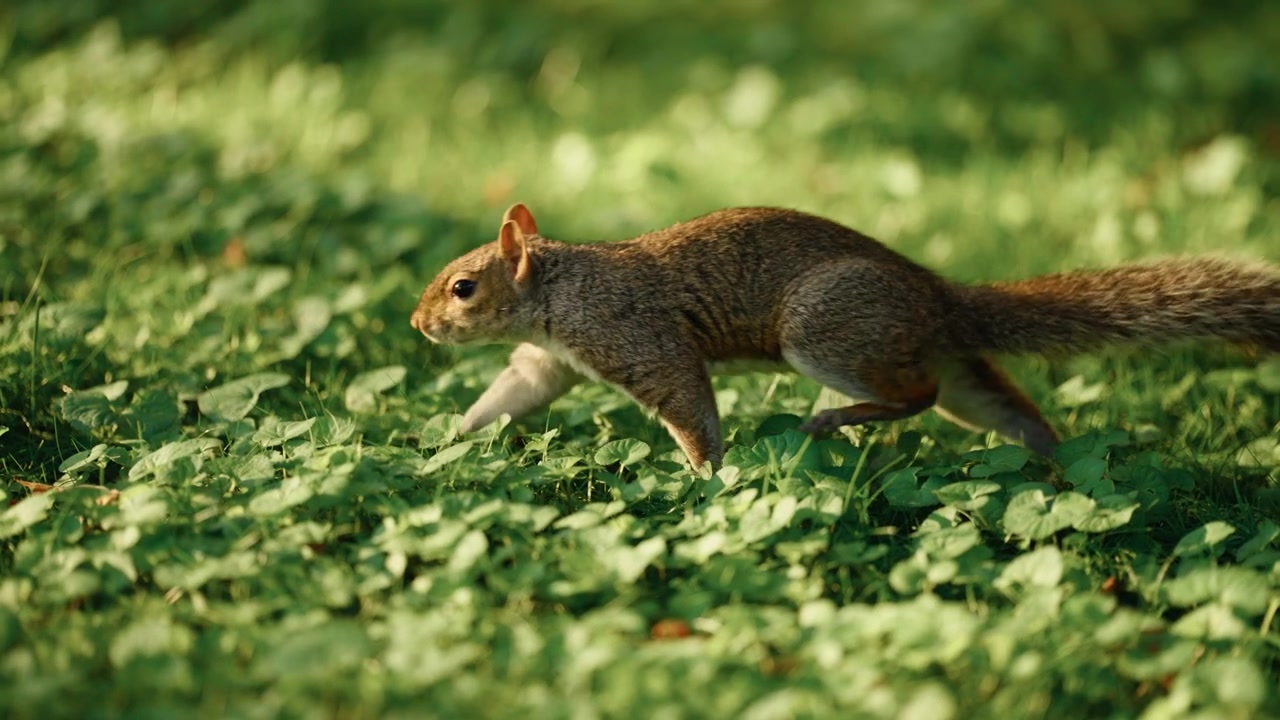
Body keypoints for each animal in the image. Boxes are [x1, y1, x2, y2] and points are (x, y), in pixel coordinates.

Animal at [410, 204, 1280, 469]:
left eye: (463, 287)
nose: (418, 324)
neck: (565, 288)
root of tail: (939, 296)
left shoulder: (638, 339)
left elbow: (690, 409)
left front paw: (707, 484)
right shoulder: (549, 360)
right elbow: (509, 394)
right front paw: (442, 441)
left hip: (826, 330)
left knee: (913, 397)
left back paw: (831, 420)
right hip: (953, 368)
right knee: (1007, 409)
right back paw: (1058, 469)